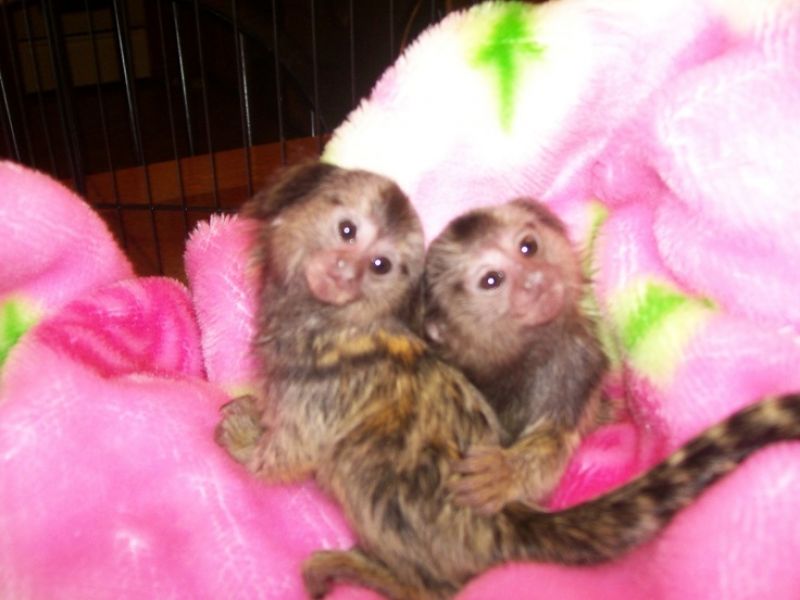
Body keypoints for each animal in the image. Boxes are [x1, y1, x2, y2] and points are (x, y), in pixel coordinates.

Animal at [421, 199, 609, 513]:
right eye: (492, 280)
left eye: (528, 247)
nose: (535, 278)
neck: (518, 362)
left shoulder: (577, 362)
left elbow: (553, 442)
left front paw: (507, 472)